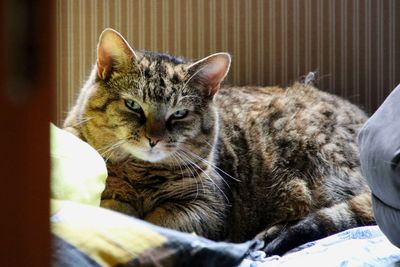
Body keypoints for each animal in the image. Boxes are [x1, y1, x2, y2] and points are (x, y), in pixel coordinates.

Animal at [63, 28, 376, 256]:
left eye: (179, 114)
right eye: (132, 105)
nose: (154, 138)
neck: (141, 174)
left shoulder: (207, 206)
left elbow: (161, 224)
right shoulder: (110, 197)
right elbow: (117, 212)